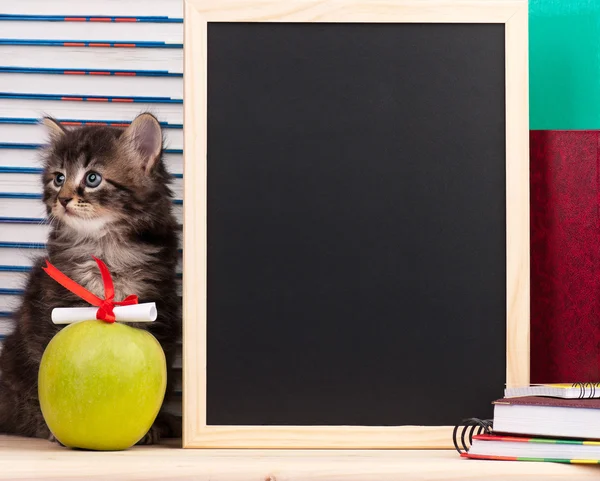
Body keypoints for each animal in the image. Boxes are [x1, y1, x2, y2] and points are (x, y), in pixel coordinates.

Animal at [0, 112, 180, 442]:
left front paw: (152, 428)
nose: (63, 199)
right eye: (58, 178)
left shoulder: (159, 309)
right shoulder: (52, 306)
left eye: (92, 178)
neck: (105, 248)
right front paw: (51, 429)